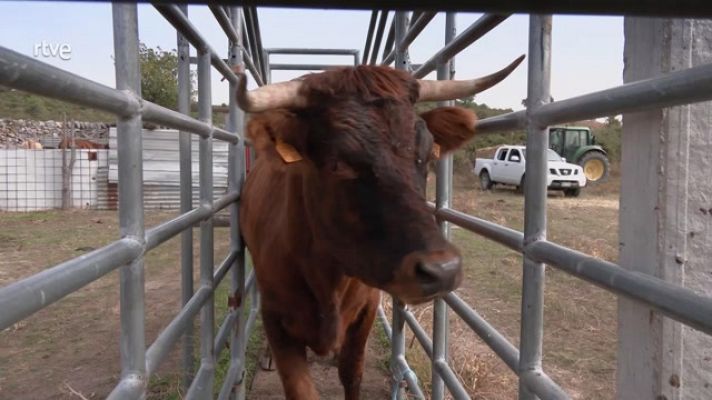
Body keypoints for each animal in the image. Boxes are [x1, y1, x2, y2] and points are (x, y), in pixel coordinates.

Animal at [239, 54, 524, 398]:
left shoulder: (367, 308)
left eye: (426, 155)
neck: (326, 278)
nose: (442, 269)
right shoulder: (276, 318)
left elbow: (352, 373)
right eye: (337, 163)